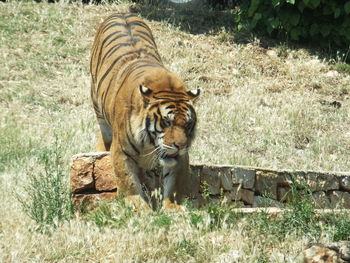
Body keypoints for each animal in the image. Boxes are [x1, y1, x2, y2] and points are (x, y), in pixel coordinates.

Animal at [90, 12, 200, 212]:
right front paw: (138, 207)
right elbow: (128, 181)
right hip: (98, 108)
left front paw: (172, 207)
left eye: (187, 124)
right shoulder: (121, 151)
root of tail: (121, 13)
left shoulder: (179, 158)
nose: (180, 145)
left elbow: (174, 184)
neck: (149, 143)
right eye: (167, 122)